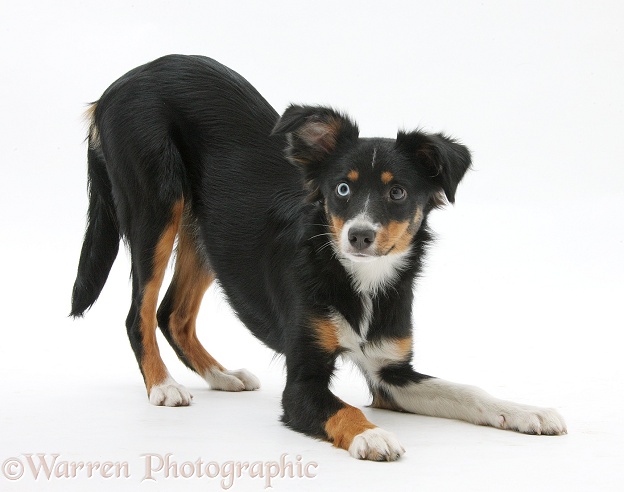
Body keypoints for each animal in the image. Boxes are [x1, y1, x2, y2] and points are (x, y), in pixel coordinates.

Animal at [70, 55, 568, 464]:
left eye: (397, 192)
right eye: (342, 188)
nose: (359, 235)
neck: (359, 280)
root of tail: (115, 87)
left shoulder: (391, 373)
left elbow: (470, 391)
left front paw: (526, 411)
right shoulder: (303, 382)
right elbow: (341, 408)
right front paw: (372, 436)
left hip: (207, 230)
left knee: (173, 313)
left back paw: (221, 376)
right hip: (157, 206)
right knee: (139, 311)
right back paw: (163, 386)